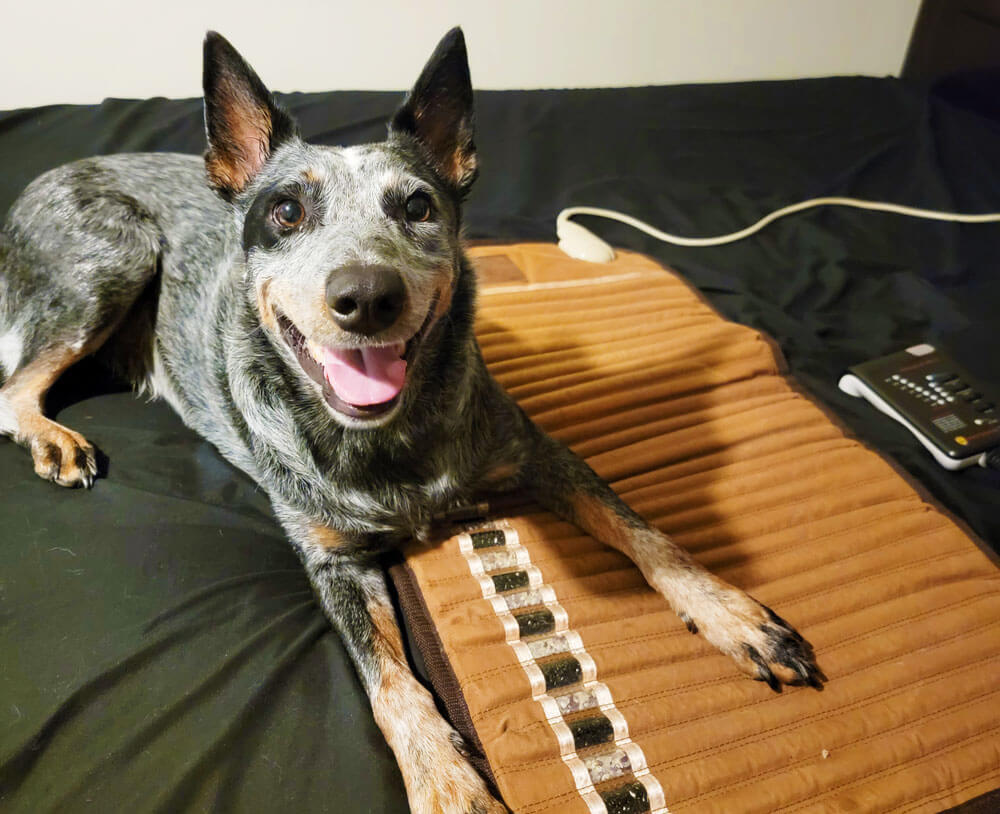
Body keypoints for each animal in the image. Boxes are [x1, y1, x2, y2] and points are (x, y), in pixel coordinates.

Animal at [0, 28, 820, 814]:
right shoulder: (332, 559)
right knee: (15, 385)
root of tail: (43, 179)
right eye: (287, 211)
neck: (392, 442)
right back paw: (55, 439)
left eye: (419, 207)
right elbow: (389, 678)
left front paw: (730, 614)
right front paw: (448, 782)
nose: (366, 296)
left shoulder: (539, 452)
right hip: (115, 256)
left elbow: (643, 531)